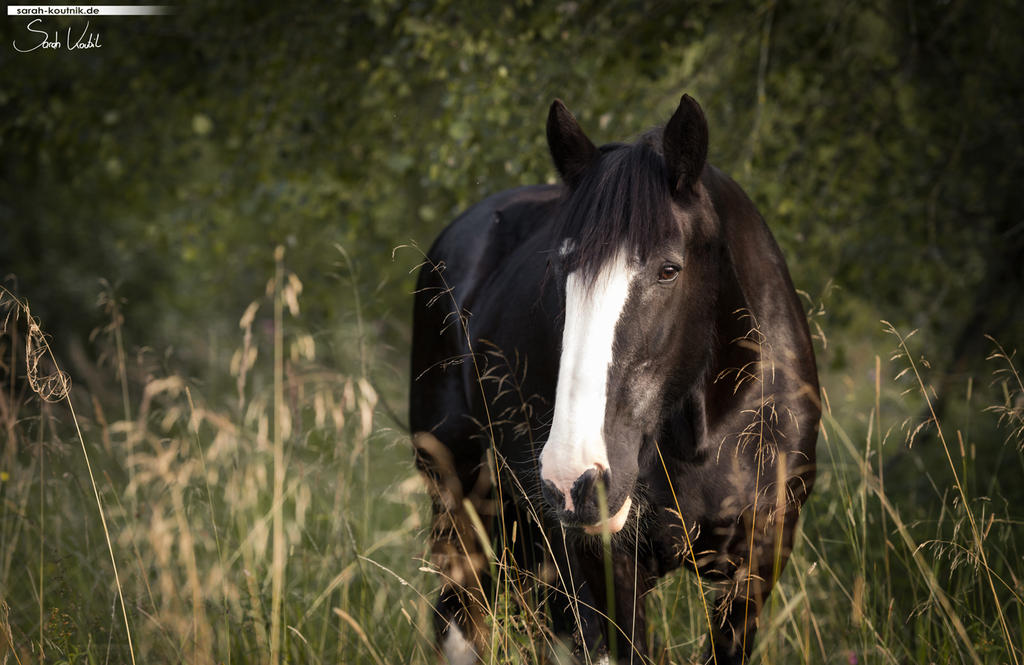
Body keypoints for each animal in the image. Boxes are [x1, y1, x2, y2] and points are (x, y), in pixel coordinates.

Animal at [411, 94, 819, 663]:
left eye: (669, 270)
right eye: (559, 271)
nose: (574, 478)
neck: (708, 432)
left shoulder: (759, 561)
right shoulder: (605, 565)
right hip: (459, 500)